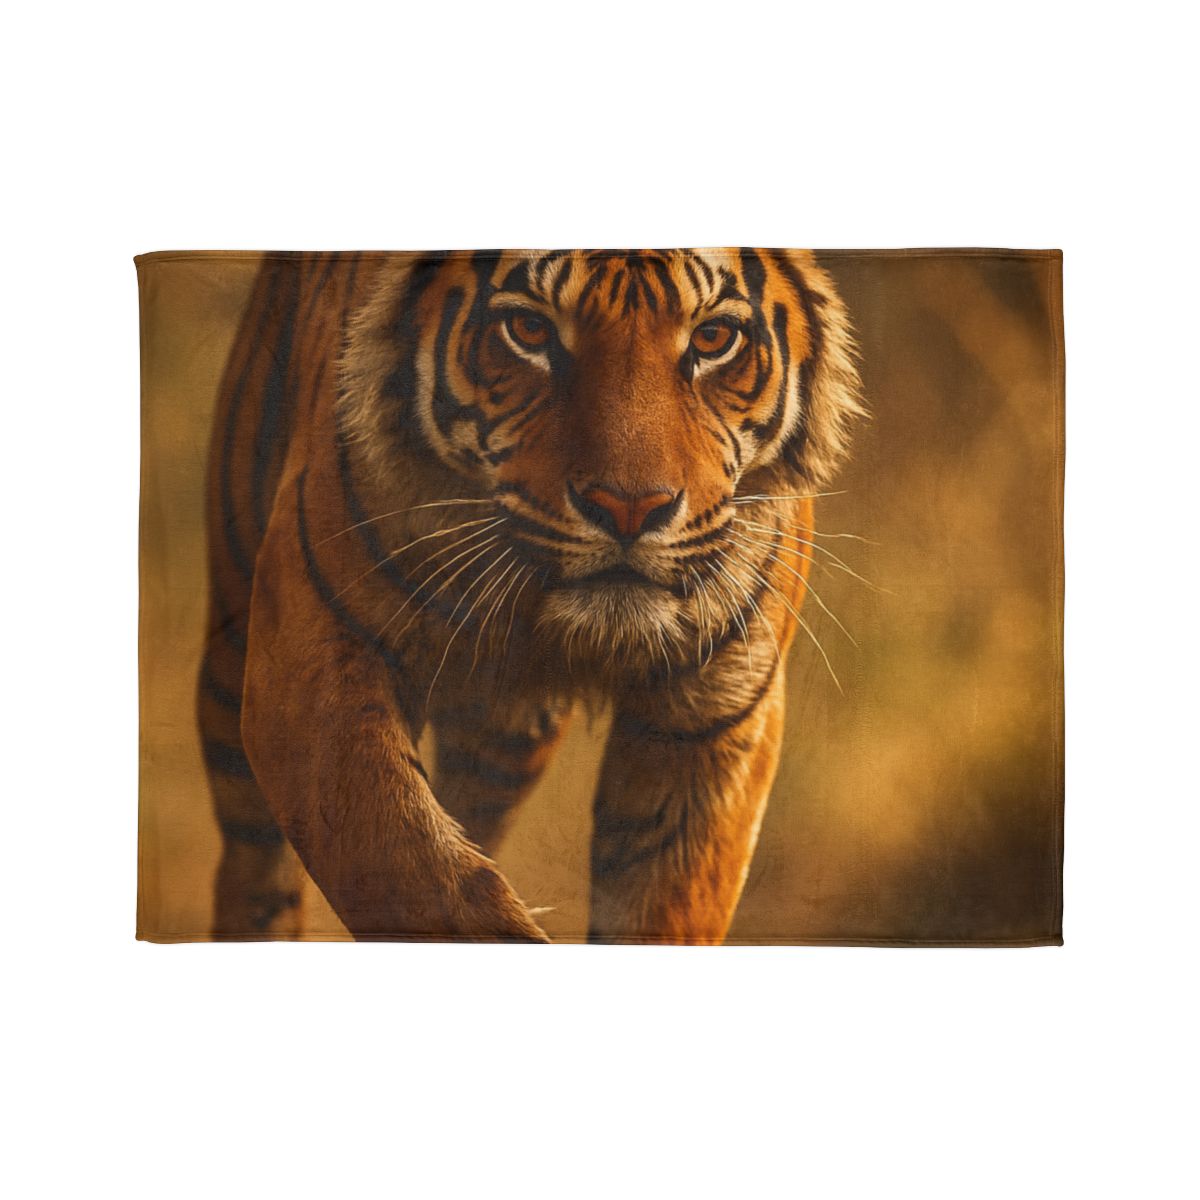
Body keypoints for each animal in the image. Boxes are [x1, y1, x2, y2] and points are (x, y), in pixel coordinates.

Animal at [198, 249, 863, 943]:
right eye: (530, 330)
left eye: (712, 338)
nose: (629, 509)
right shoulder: (314, 665)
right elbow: (418, 875)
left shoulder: (714, 715)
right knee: (256, 863)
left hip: (509, 739)